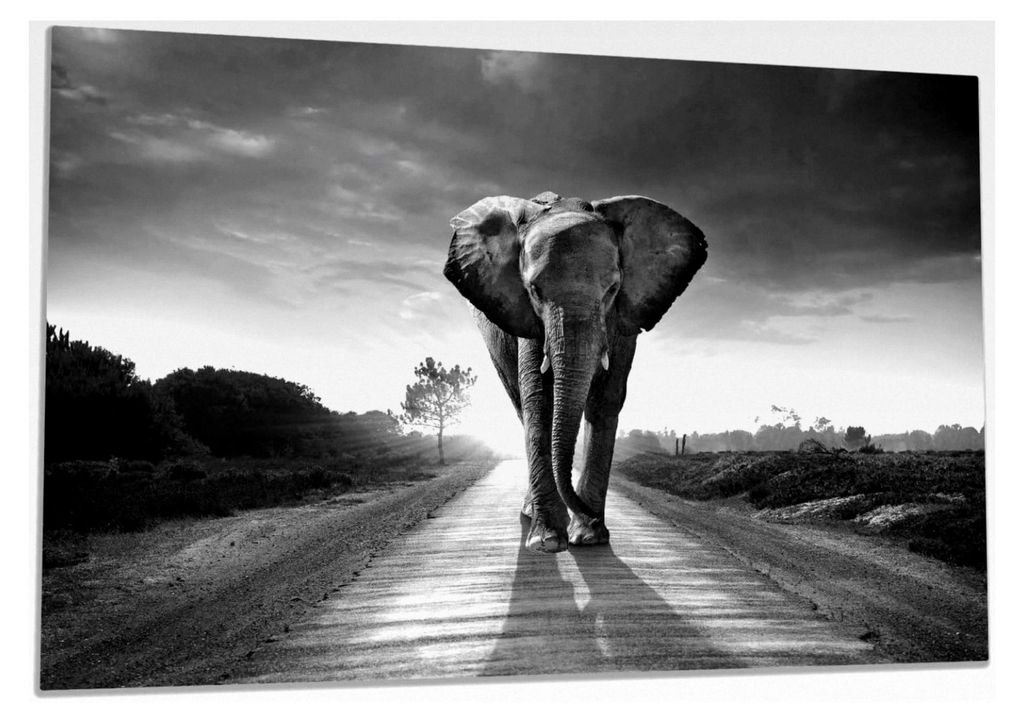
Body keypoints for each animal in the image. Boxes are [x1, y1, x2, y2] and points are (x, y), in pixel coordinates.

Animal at [443, 191, 707, 553]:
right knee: (521, 405)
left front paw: (590, 537)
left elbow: (606, 400)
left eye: (612, 290)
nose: (590, 515)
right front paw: (548, 541)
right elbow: (540, 401)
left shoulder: (623, 317)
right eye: (534, 291)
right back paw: (533, 514)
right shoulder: (526, 317)